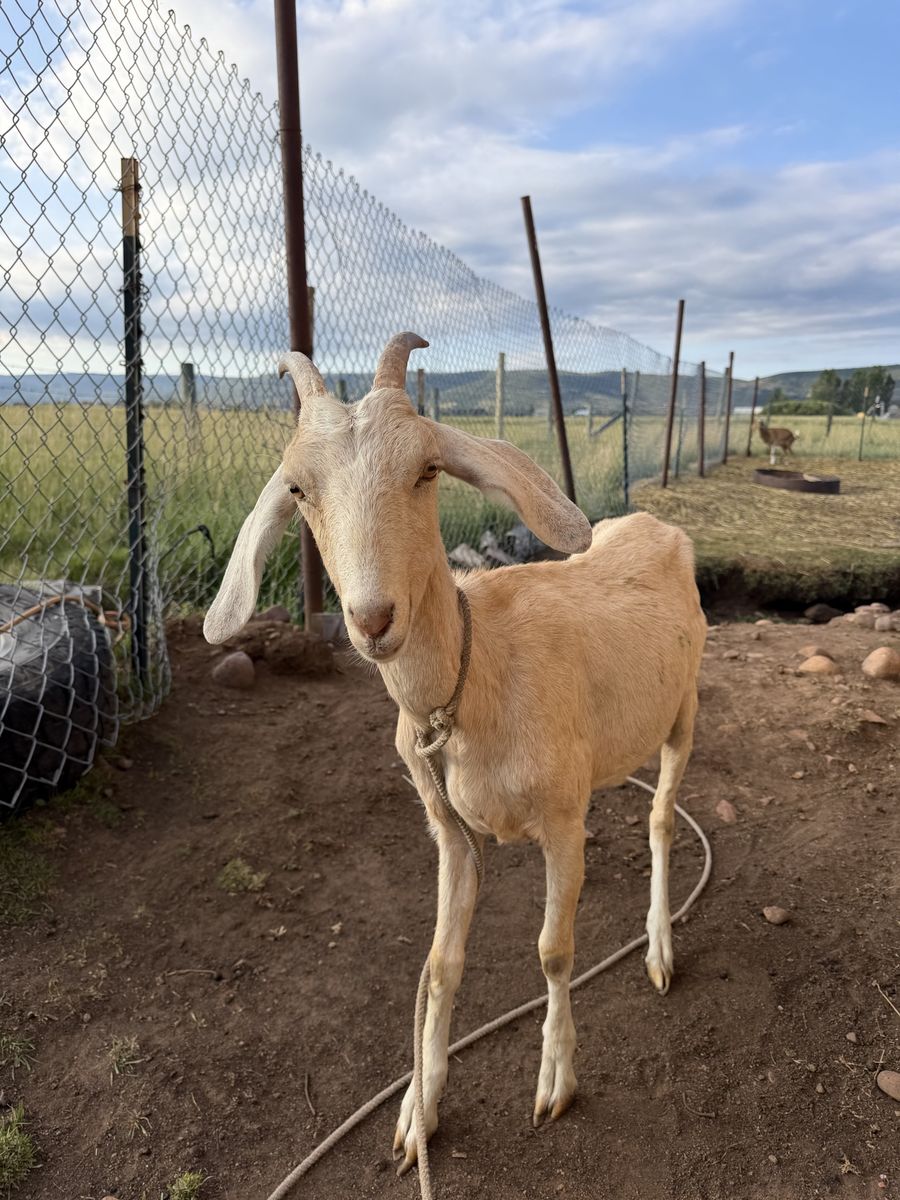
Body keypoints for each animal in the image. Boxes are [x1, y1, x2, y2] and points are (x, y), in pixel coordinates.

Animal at [203, 334, 706, 1172]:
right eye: (298, 488)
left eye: (428, 469)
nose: (373, 619)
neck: (476, 678)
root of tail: (653, 522)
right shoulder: (451, 832)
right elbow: (439, 965)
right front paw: (418, 1112)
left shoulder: (559, 819)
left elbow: (554, 950)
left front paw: (556, 1079)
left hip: (687, 707)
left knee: (664, 819)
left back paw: (660, 946)